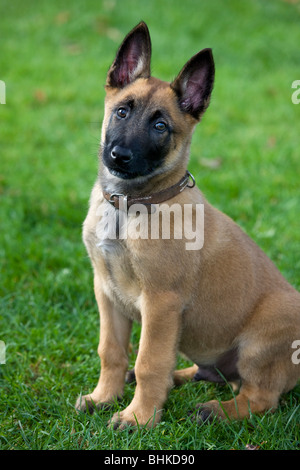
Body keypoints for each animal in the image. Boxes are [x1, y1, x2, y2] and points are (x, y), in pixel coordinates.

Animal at [76, 22, 300, 428]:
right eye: (122, 112)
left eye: (160, 126)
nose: (119, 155)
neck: (130, 206)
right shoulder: (106, 291)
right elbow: (111, 351)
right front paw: (104, 398)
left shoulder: (161, 303)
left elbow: (149, 362)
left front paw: (138, 418)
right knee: (209, 373)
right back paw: (182, 380)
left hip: (260, 341)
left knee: (261, 398)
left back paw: (216, 411)